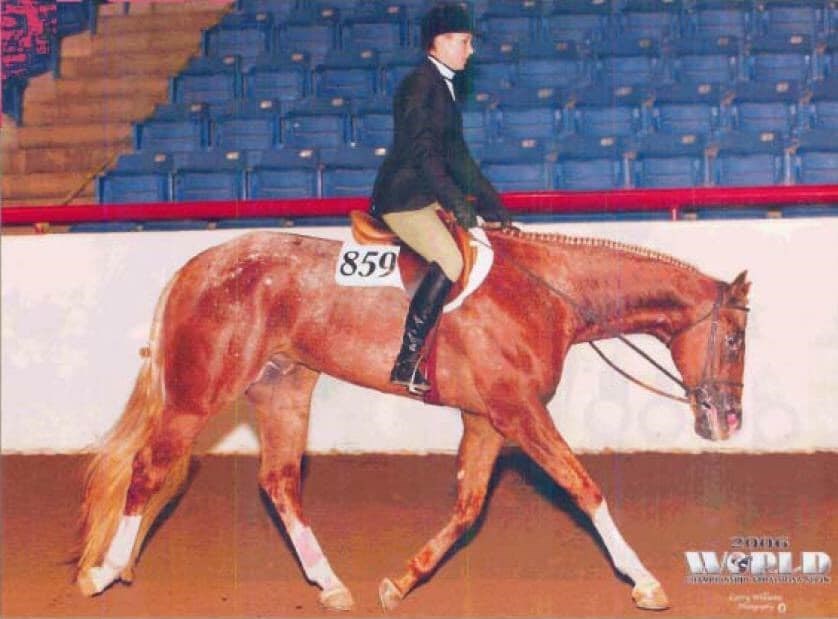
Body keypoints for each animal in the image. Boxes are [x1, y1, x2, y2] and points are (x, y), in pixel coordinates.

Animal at [75, 223, 750, 612]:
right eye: (735, 338)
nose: (728, 421)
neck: (545, 293)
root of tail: (199, 266)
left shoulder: (486, 419)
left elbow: (469, 507)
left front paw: (401, 582)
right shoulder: (517, 410)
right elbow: (583, 488)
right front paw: (644, 580)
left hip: (283, 388)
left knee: (279, 483)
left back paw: (331, 585)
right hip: (197, 397)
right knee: (148, 469)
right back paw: (103, 572)